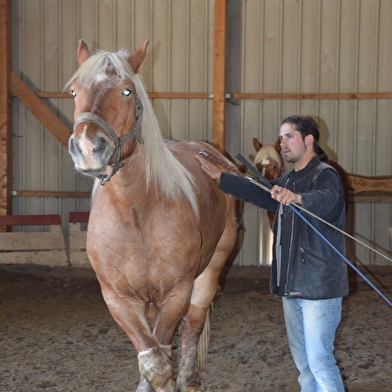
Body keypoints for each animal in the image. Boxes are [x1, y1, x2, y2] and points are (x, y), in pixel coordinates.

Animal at [67, 40, 239, 392]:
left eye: (127, 91)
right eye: (75, 91)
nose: (88, 147)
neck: (137, 214)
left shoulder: (176, 294)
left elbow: (162, 354)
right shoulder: (118, 299)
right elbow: (152, 360)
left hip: (210, 271)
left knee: (192, 326)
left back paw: (189, 379)